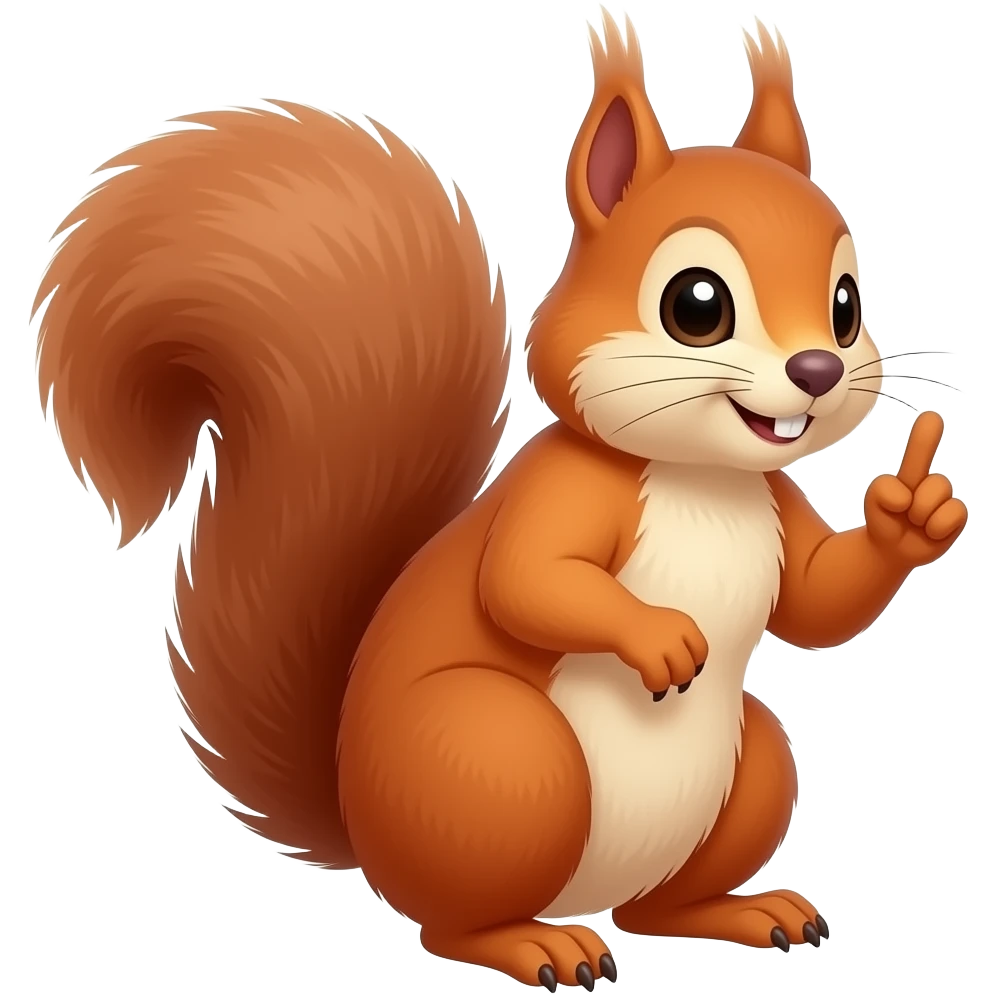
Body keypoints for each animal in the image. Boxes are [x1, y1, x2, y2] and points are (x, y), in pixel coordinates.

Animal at [31, 10, 966, 991]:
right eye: (696, 304)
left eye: (846, 304)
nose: (817, 370)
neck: (699, 475)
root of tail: (364, 833)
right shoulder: (565, 492)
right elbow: (524, 580)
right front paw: (658, 636)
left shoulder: (774, 504)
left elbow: (819, 606)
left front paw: (911, 513)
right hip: (499, 757)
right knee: (454, 922)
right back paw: (537, 944)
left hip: (748, 770)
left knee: (656, 907)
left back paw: (737, 911)